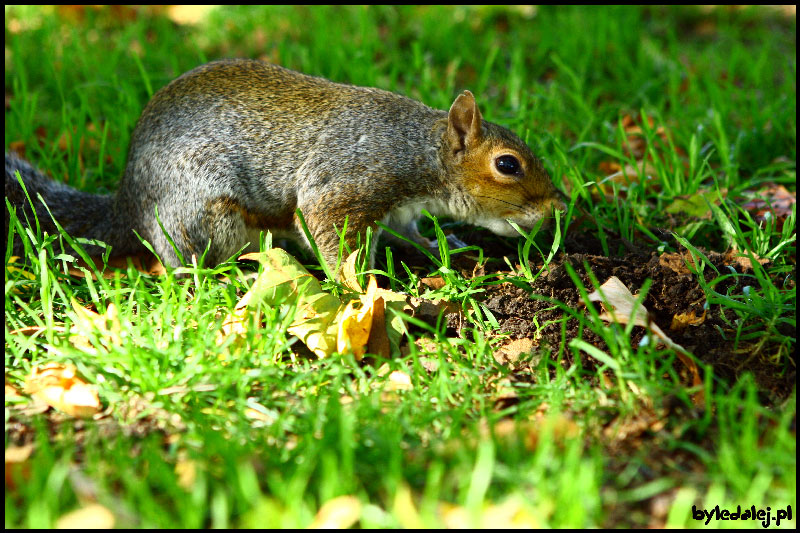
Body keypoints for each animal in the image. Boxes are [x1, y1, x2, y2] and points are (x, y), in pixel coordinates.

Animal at [7, 59, 568, 270]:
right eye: (508, 165)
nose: (560, 207)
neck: (416, 150)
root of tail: (126, 206)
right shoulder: (348, 181)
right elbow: (328, 232)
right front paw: (364, 290)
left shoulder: (396, 212)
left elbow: (408, 233)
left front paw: (441, 247)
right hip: (206, 214)